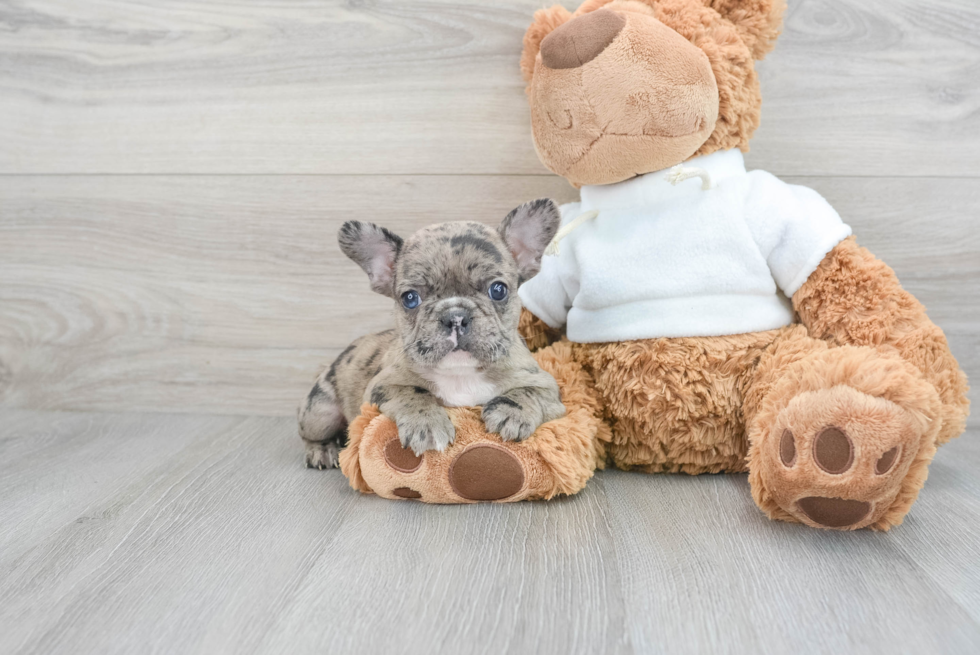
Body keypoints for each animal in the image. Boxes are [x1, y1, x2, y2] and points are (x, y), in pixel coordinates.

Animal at [302, 197, 572, 468]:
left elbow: (529, 392)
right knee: (310, 432)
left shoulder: (546, 387)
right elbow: (413, 392)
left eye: (498, 290)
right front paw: (427, 423)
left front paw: (511, 412)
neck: (461, 372)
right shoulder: (381, 386)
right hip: (321, 412)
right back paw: (322, 449)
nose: (455, 316)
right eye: (410, 298)